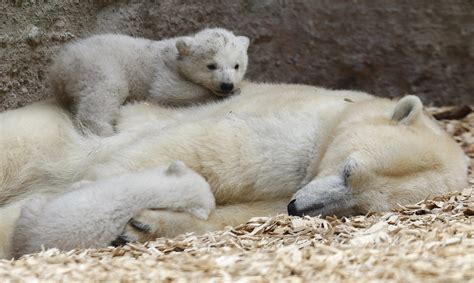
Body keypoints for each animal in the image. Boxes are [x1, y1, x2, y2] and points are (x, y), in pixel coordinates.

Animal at [0, 82, 466, 260]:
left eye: (358, 210)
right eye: (349, 170)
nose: (299, 208)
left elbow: (243, 212)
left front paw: (142, 225)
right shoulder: (293, 129)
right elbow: (201, 153)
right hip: (43, 133)